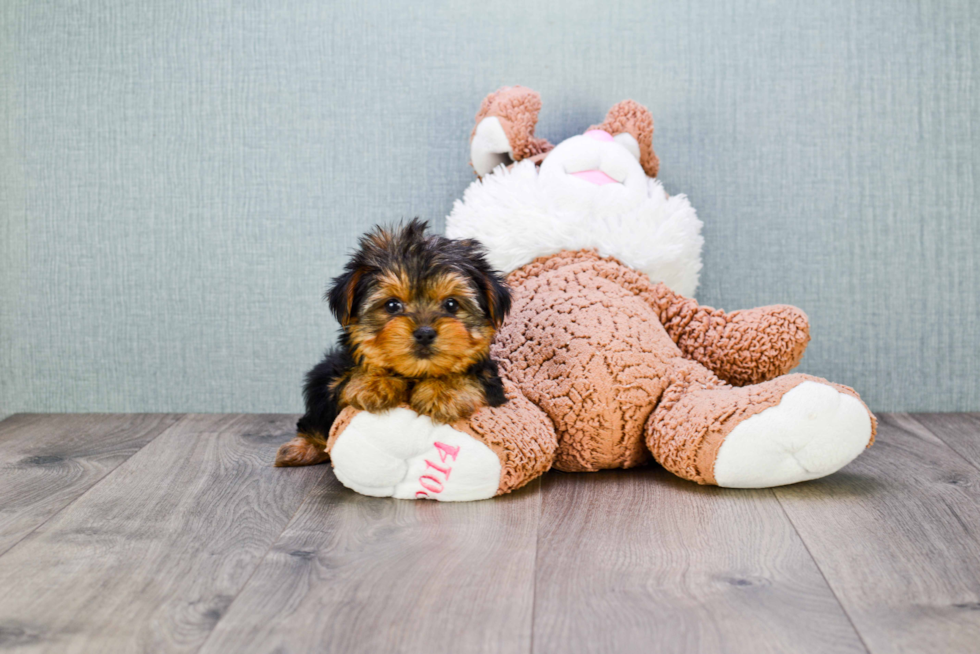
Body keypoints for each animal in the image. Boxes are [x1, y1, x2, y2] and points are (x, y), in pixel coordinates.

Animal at [272, 222, 510, 472]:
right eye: (392, 305)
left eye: (452, 304)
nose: (425, 333)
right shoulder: (335, 382)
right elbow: (348, 383)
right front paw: (374, 382)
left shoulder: (493, 386)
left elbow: (471, 376)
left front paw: (445, 390)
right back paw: (300, 449)